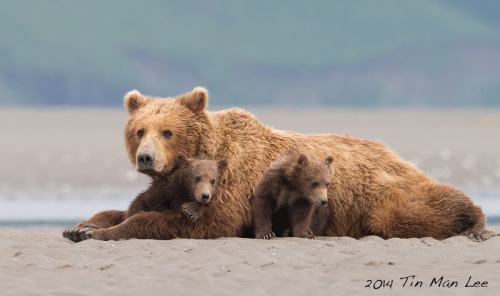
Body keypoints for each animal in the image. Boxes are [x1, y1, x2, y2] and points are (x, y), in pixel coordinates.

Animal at [61, 86, 484, 243]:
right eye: (139, 130)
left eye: (167, 131)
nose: (146, 157)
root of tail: (396, 154)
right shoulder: (170, 185)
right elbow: (132, 207)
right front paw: (81, 225)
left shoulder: (229, 185)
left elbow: (197, 222)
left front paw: (100, 233)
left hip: (382, 192)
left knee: (410, 212)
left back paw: (475, 222)